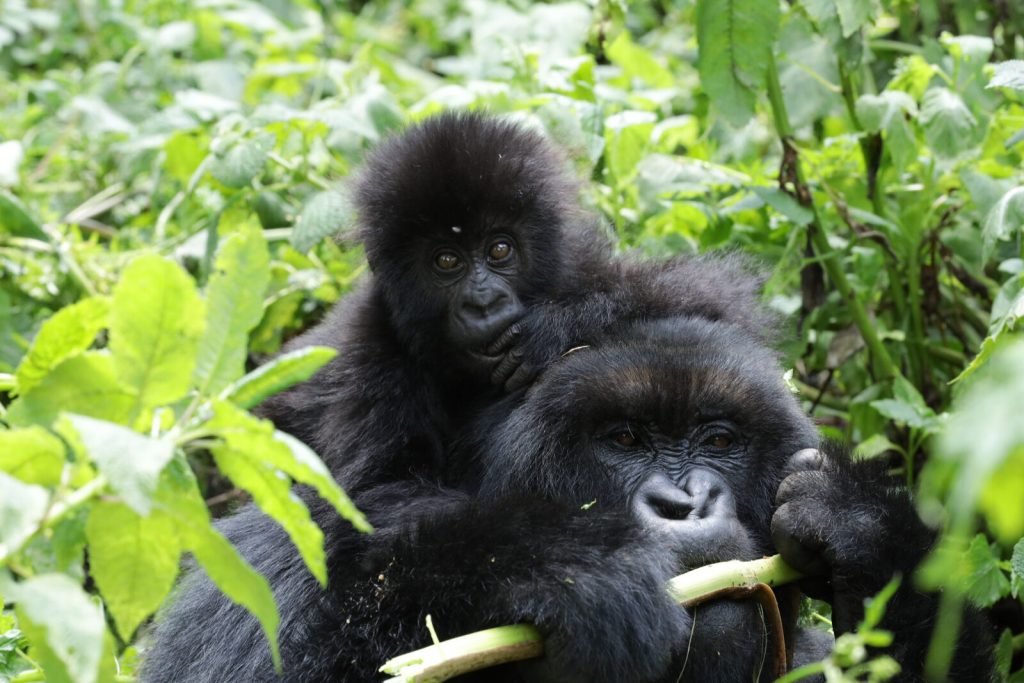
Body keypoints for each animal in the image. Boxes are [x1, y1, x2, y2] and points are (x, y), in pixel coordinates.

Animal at [138, 317, 991, 679]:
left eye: (718, 438)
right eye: (623, 439)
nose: (686, 502)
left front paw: (864, 533)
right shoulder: (275, 573)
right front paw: (562, 562)